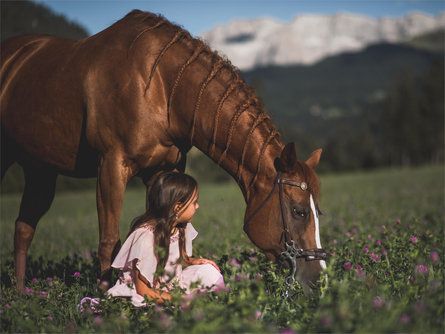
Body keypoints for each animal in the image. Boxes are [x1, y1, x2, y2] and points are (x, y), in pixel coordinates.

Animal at [1, 10, 324, 292]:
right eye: (299, 211)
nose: (319, 279)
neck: (159, 86)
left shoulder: (162, 172)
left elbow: (160, 240)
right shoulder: (111, 166)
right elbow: (109, 242)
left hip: (40, 169)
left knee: (23, 229)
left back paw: (20, 293)